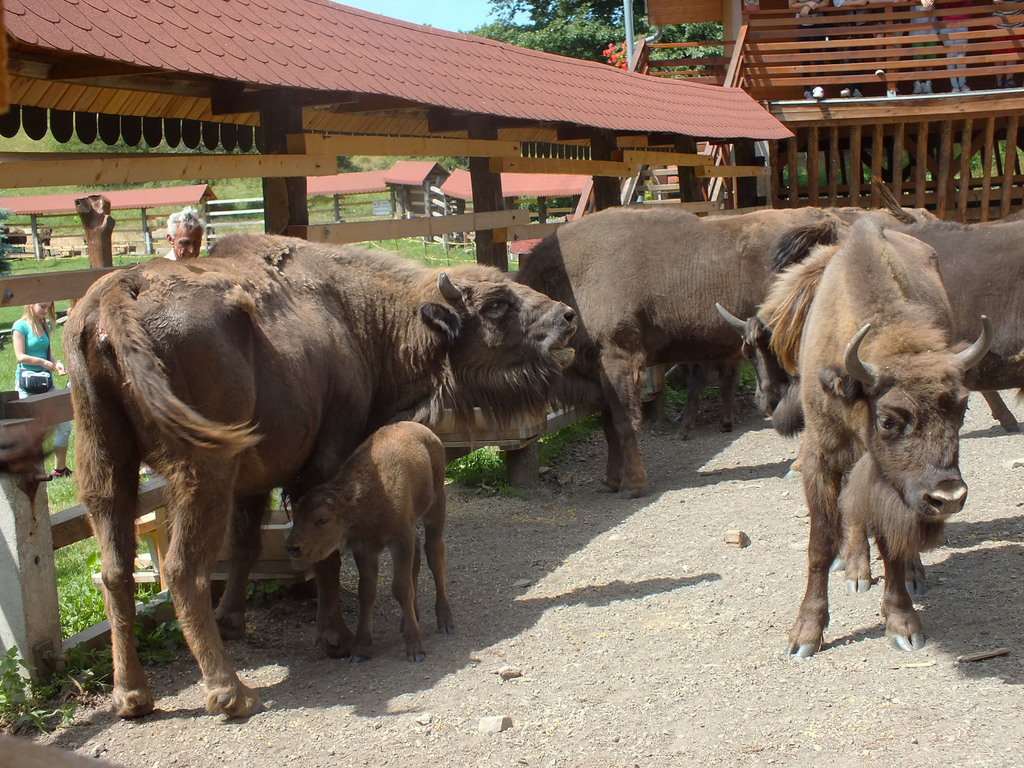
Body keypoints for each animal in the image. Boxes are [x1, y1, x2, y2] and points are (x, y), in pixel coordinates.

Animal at [284, 421, 452, 667]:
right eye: (295, 516)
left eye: (322, 519)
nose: (293, 546)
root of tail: (427, 432)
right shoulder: (365, 549)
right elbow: (366, 592)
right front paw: (361, 650)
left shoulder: (400, 538)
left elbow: (401, 588)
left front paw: (415, 649)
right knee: (418, 558)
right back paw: (407, 621)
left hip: (436, 504)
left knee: (434, 553)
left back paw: (446, 621)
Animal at [520, 204, 839, 499]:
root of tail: (825, 221)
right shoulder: (599, 374)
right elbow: (609, 427)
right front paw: (610, 482)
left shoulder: (619, 359)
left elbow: (624, 424)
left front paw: (631, 486)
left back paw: (798, 465)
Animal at [770, 219, 987, 659]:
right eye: (888, 420)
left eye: (962, 409)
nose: (948, 497)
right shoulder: (821, 457)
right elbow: (820, 543)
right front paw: (805, 635)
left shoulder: (890, 483)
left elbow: (891, 543)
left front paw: (903, 624)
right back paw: (855, 570)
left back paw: (913, 573)